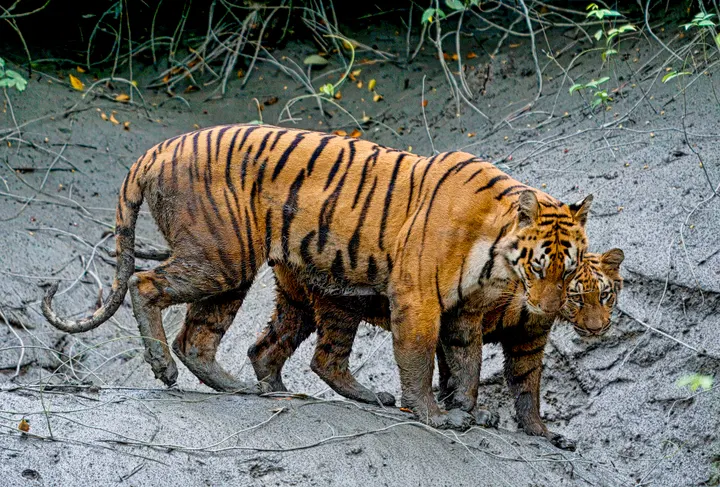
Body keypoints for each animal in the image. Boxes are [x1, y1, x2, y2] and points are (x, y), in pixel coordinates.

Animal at [41, 124, 593, 430]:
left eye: (570, 272)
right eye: (540, 266)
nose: (546, 310)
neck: (495, 254)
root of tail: (155, 149)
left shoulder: (464, 313)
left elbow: (466, 366)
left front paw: (467, 411)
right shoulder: (418, 299)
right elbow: (419, 360)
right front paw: (434, 415)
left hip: (238, 273)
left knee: (203, 337)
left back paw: (244, 388)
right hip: (222, 257)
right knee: (145, 286)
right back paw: (164, 368)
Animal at [248, 248, 623, 450]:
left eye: (604, 294)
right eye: (577, 297)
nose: (597, 327)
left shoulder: (528, 341)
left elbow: (527, 388)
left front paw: (542, 433)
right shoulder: (461, 317)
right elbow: (464, 369)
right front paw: (470, 413)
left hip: (296, 303)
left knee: (262, 348)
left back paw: (275, 389)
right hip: (341, 301)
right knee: (324, 358)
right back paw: (371, 396)